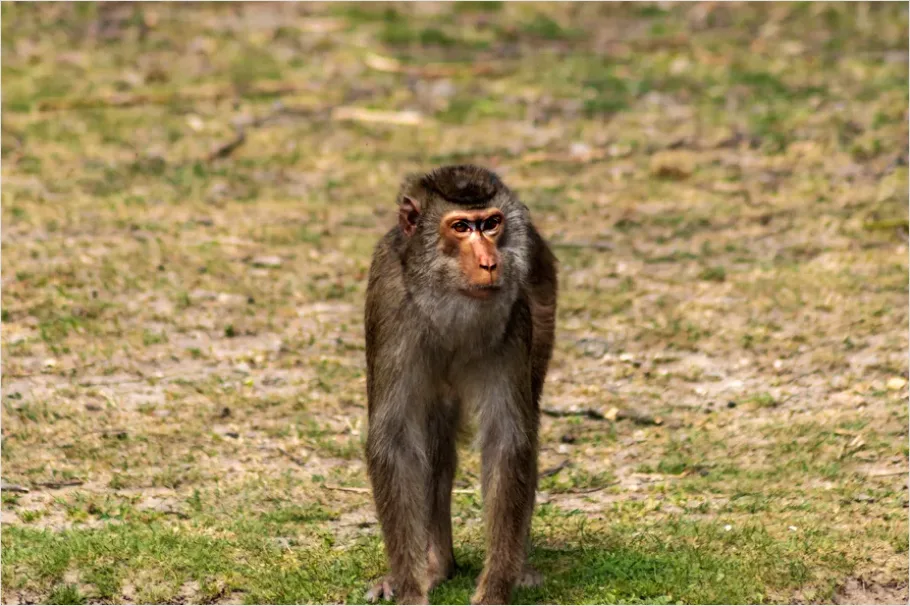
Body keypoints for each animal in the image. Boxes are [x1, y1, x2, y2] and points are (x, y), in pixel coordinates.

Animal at [363, 165, 557, 605]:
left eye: (490, 224)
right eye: (461, 227)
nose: (489, 262)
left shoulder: (515, 316)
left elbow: (507, 441)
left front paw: (496, 587)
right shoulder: (390, 307)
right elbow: (396, 442)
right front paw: (410, 588)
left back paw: (516, 568)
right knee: (434, 440)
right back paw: (438, 565)